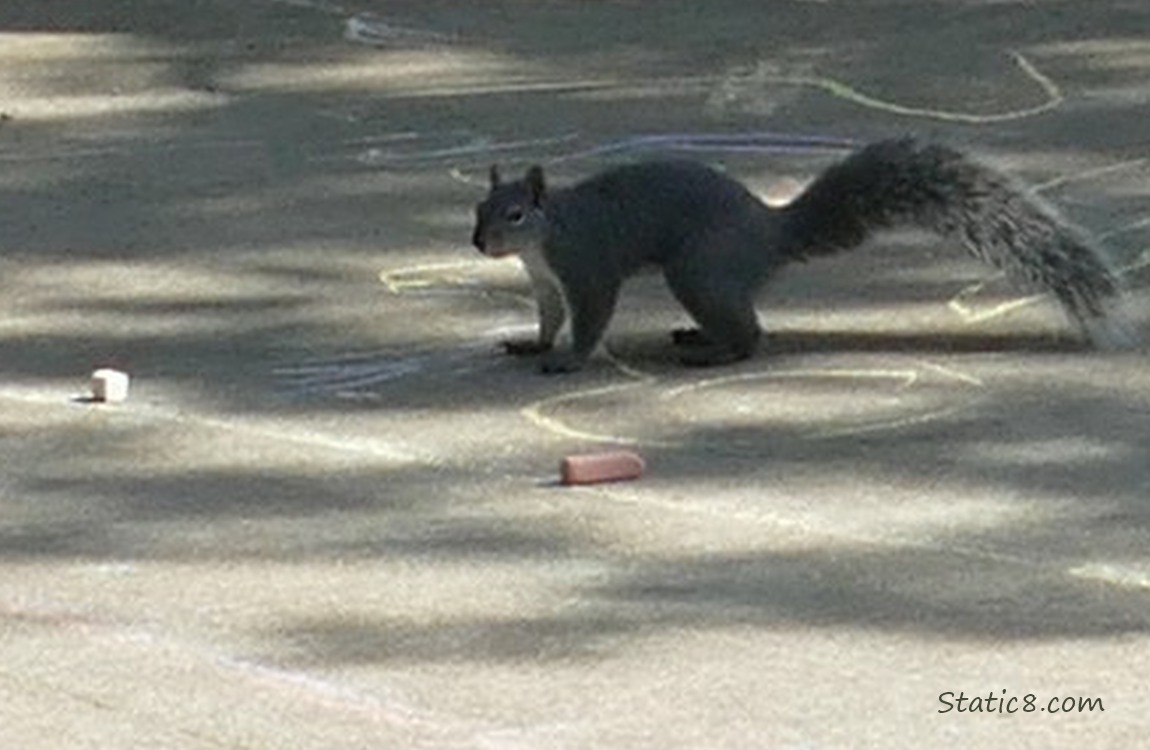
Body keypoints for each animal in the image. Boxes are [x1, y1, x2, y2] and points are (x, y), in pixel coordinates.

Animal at [471, 137, 1131, 373]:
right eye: (479, 207)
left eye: (516, 214)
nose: (479, 242)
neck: (547, 238)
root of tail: (770, 229)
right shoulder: (548, 281)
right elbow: (550, 316)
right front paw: (534, 343)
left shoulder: (586, 265)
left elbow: (589, 317)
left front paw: (567, 361)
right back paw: (696, 336)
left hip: (699, 270)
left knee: (751, 334)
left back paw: (713, 352)